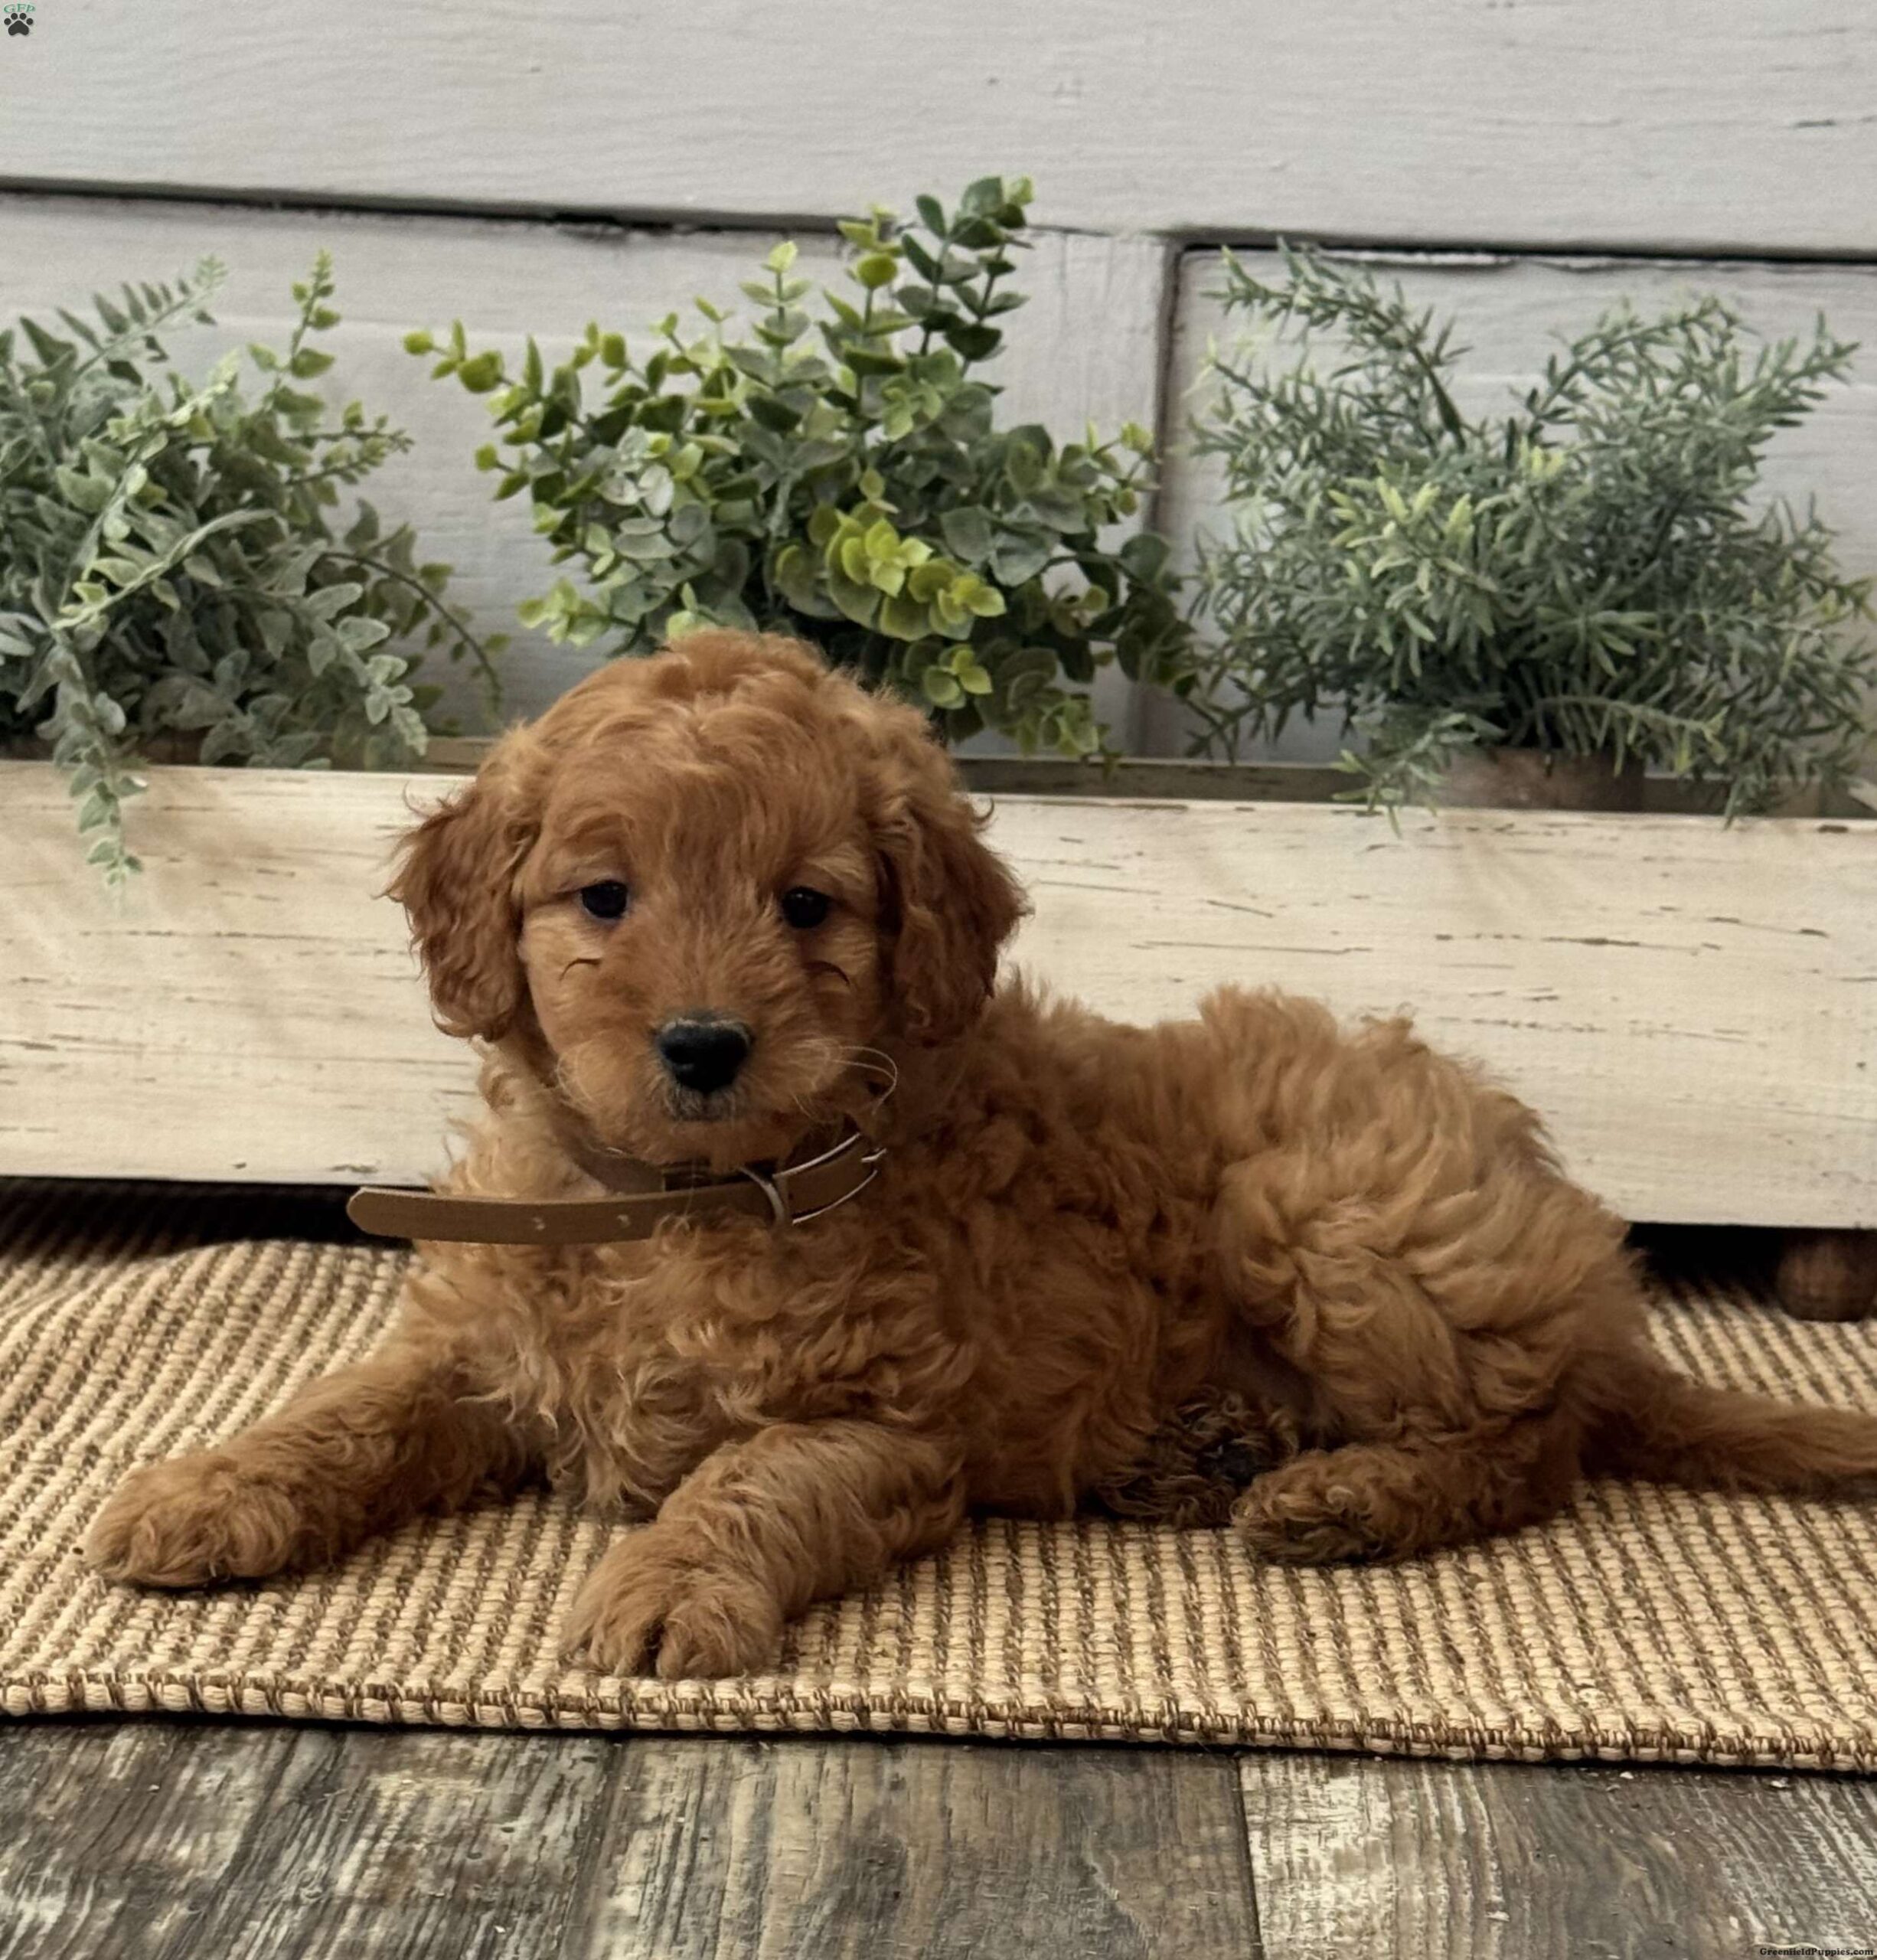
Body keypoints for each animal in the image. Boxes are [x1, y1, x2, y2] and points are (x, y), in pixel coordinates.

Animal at [88, 630, 1877, 1677]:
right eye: (603, 897)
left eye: (807, 905)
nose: (703, 1045)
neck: (682, 1202)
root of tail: (1579, 1266)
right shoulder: (475, 1345)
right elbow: (346, 1405)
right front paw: (200, 1489)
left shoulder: (887, 1419)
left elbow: (744, 1478)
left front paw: (669, 1586)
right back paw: (1210, 1452)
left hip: (1326, 1216)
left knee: (1534, 1440)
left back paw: (1340, 1494)